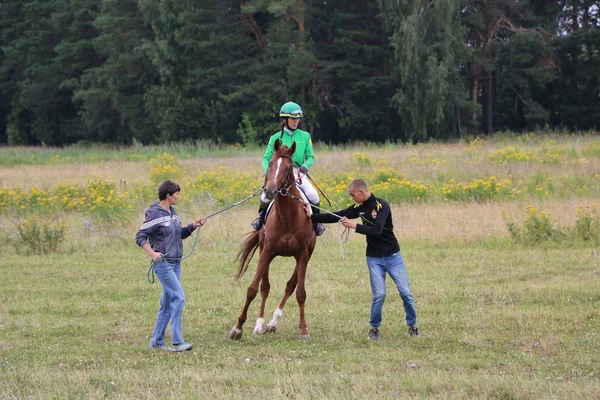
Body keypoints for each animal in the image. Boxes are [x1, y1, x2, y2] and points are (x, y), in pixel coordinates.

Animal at [229, 139, 316, 340]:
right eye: (270, 164)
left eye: (288, 168)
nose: (269, 192)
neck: (287, 217)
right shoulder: (267, 252)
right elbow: (253, 289)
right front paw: (238, 328)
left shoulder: (302, 255)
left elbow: (300, 292)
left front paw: (304, 330)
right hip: (264, 251)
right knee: (265, 287)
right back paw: (260, 325)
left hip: (307, 254)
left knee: (290, 286)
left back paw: (272, 323)